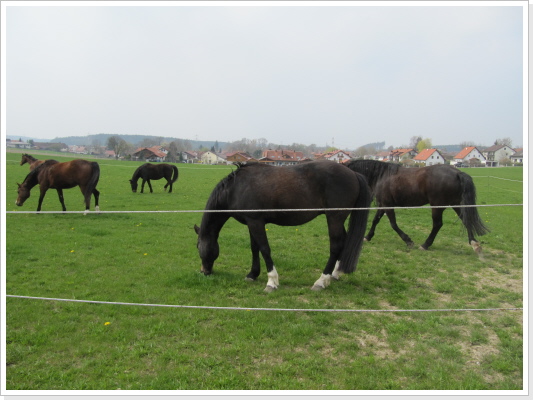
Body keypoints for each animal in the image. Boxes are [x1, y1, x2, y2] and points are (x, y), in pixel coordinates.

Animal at [194, 160, 372, 292]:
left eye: (198, 246)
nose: (203, 271)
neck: (236, 188)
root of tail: (353, 174)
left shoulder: (256, 222)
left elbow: (264, 249)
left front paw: (271, 282)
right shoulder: (251, 222)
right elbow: (254, 248)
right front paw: (252, 274)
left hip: (334, 218)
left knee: (335, 246)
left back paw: (321, 281)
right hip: (338, 220)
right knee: (344, 242)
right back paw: (336, 273)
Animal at [344, 159, 489, 255]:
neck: (381, 176)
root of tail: (457, 173)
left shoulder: (387, 205)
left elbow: (393, 224)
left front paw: (408, 241)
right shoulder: (383, 205)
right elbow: (375, 220)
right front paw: (368, 237)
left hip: (437, 206)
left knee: (437, 225)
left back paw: (425, 245)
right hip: (456, 204)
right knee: (466, 220)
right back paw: (474, 244)